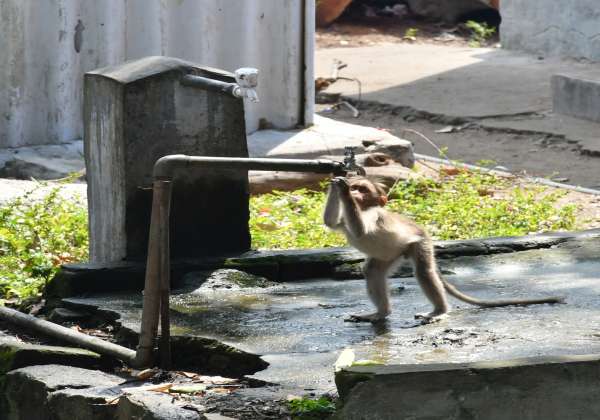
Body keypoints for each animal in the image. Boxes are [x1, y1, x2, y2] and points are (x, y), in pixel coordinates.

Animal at [323, 176, 563, 323]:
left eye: (362, 189)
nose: (353, 191)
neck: (363, 208)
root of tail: (421, 233)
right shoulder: (344, 220)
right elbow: (331, 223)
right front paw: (335, 186)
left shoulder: (374, 214)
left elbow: (361, 231)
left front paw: (342, 190)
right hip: (392, 253)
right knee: (373, 270)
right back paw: (381, 313)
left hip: (418, 244)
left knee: (423, 272)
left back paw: (439, 311)